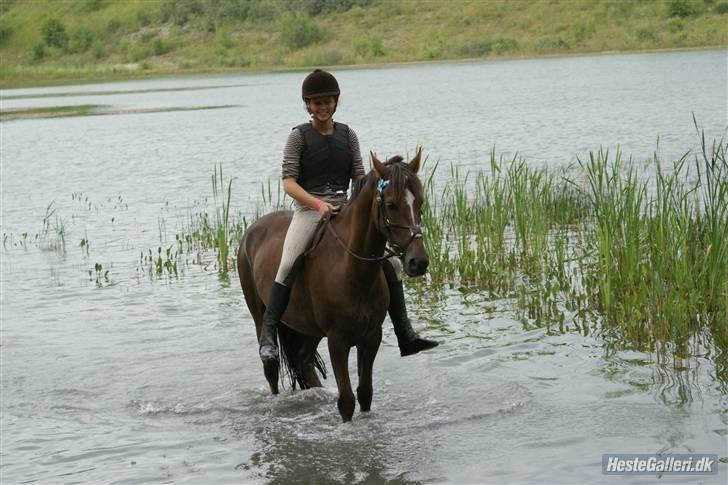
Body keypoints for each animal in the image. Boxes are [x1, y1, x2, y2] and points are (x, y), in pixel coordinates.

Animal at [236, 147, 430, 420]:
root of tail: (252, 230)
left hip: (308, 328)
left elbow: (365, 393)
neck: (353, 268)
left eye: (420, 203)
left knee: (303, 361)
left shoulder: (372, 336)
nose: (418, 262)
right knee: (271, 368)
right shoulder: (337, 341)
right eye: (391, 205)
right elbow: (347, 400)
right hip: (261, 314)